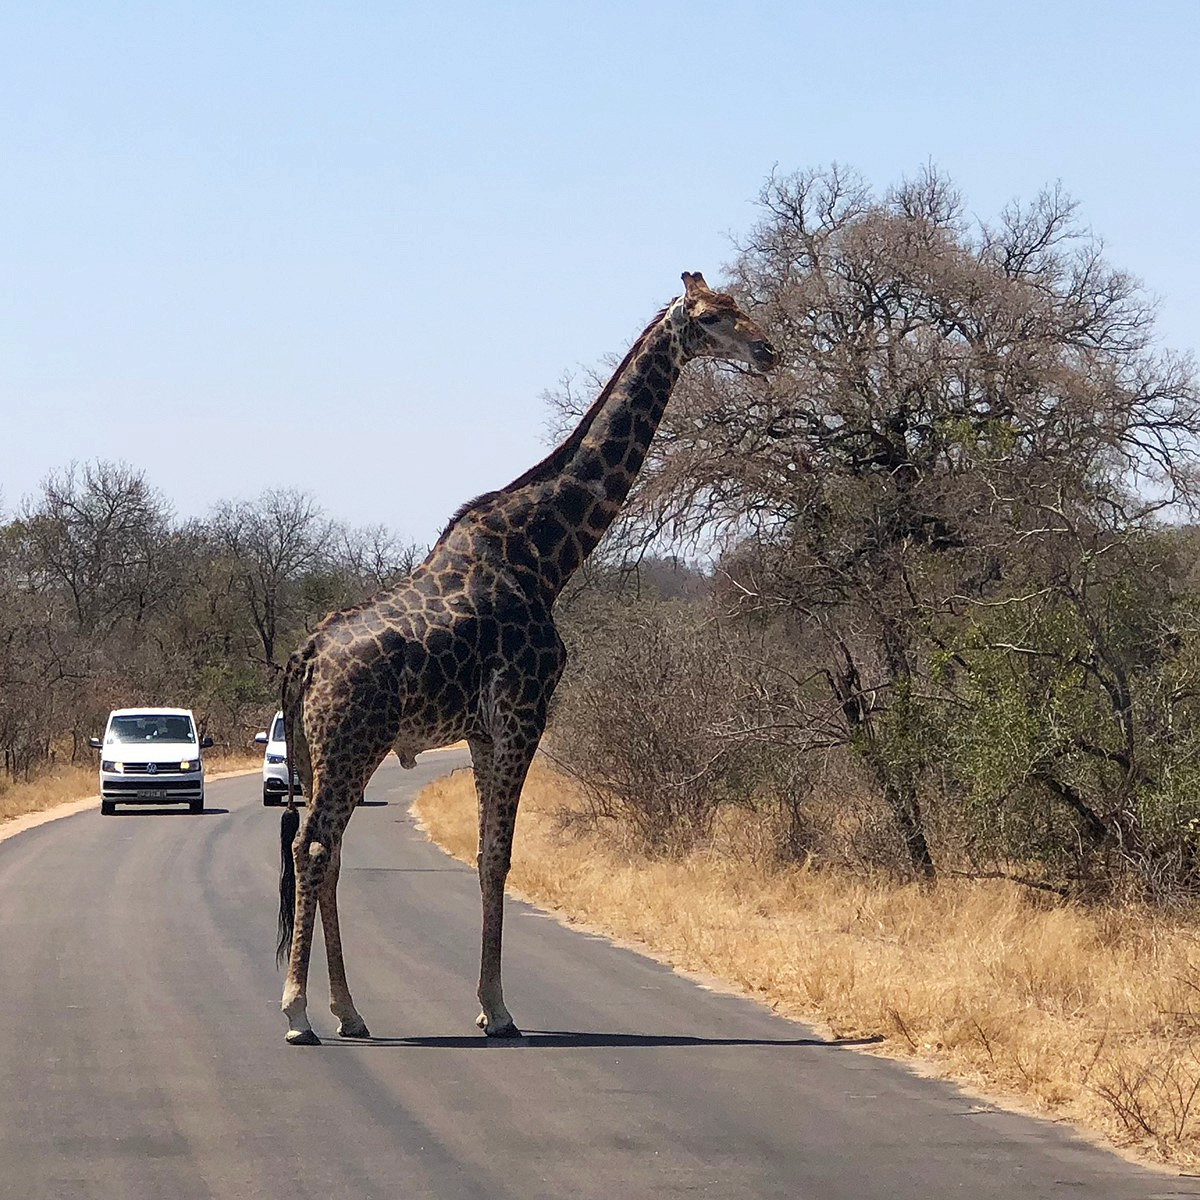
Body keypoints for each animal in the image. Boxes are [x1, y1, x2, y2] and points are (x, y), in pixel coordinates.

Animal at [274, 272, 772, 1041]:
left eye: (742, 305)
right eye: (714, 317)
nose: (767, 351)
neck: (543, 557)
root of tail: (307, 656)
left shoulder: (485, 731)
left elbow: (489, 855)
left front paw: (488, 1002)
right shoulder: (522, 715)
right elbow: (498, 855)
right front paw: (498, 1009)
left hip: (329, 750)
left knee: (327, 852)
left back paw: (350, 1012)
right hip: (350, 742)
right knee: (314, 849)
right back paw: (298, 1010)